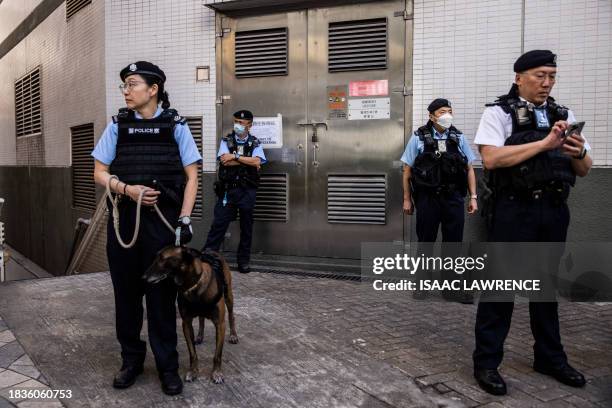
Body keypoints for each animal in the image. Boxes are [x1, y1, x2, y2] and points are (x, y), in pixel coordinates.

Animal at [144, 247, 239, 384]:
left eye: (162, 258)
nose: (143, 277)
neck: (192, 285)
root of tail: (211, 250)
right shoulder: (186, 323)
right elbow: (192, 353)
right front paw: (193, 371)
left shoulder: (220, 324)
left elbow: (217, 355)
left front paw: (216, 373)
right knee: (201, 319)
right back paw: (199, 336)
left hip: (229, 296)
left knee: (231, 315)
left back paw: (233, 335)